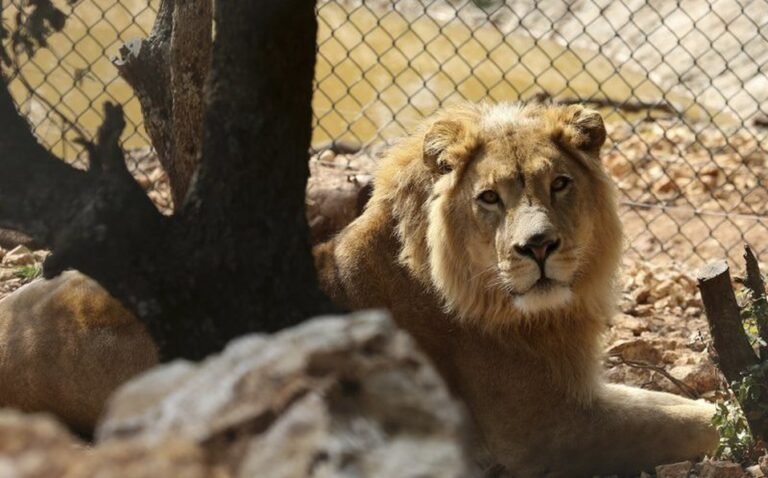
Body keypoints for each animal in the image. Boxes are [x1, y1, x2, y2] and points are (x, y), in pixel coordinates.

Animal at [313, 101, 718, 476]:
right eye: (490, 197)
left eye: (559, 183)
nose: (538, 246)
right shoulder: (544, 434)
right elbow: (684, 425)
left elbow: (660, 401)